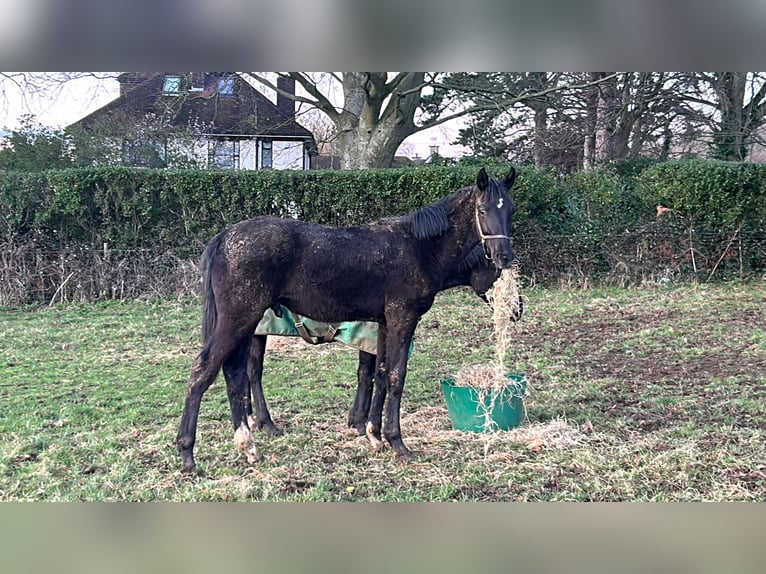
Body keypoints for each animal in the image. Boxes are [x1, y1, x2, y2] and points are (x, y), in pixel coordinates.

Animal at [177, 166, 520, 472]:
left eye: (511, 210)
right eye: (483, 209)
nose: (504, 256)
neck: (419, 248)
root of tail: (224, 237)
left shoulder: (382, 324)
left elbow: (379, 374)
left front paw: (374, 434)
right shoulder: (403, 317)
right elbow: (396, 376)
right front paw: (397, 442)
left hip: (245, 325)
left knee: (235, 375)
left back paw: (248, 446)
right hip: (239, 319)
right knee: (205, 370)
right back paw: (188, 454)